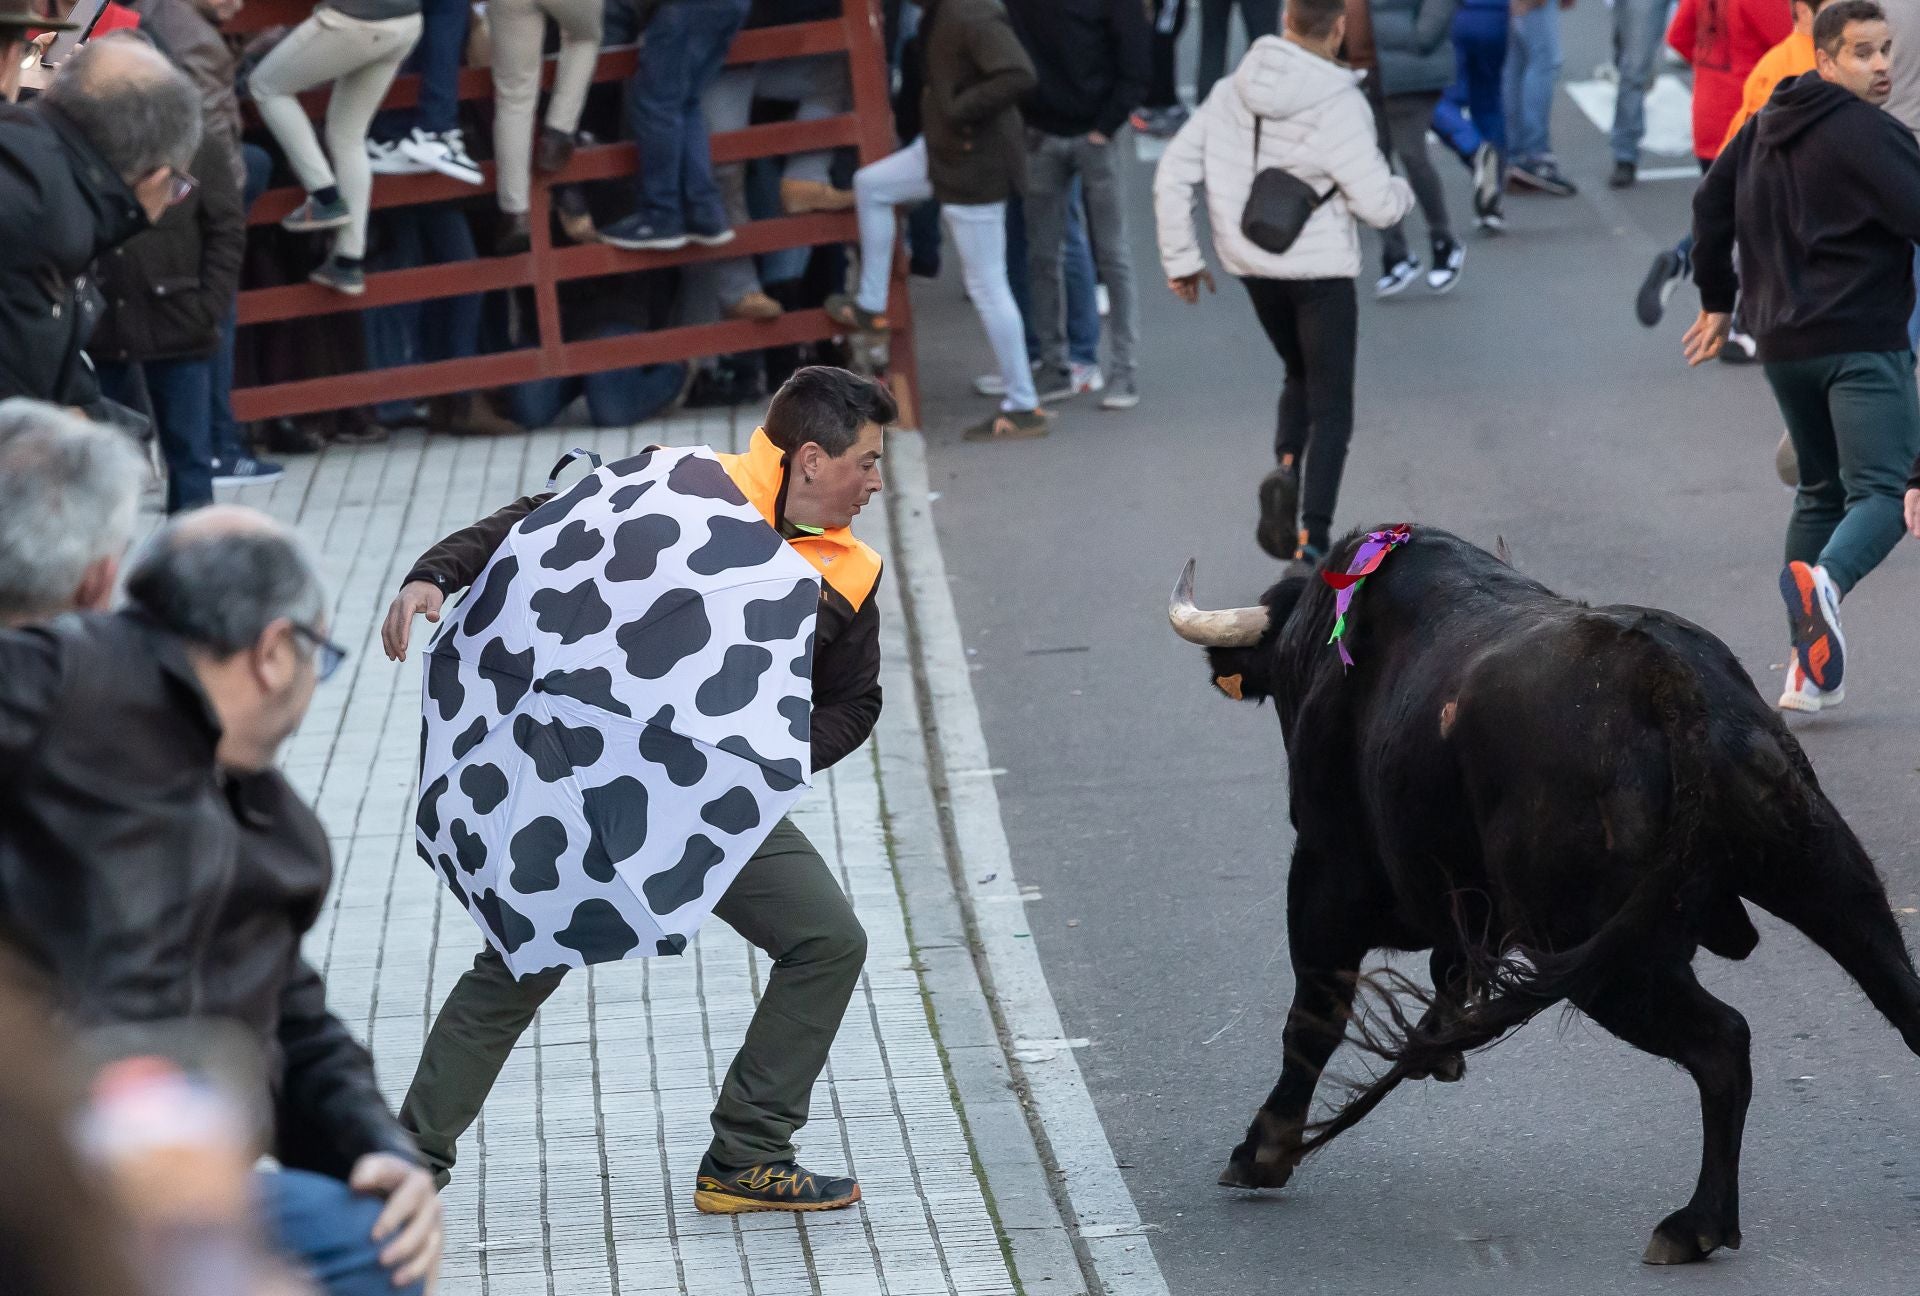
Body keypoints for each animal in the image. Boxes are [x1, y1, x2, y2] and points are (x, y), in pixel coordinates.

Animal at [1159, 526, 1920, 1267]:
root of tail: (1670, 685)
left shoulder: (1324, 877)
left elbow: (1312, 1017)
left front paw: (1264, 1149)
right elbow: (1449, 970)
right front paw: (1436, 1048)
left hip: (1604, 953)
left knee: (1723, 1043)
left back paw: (1694, 1225)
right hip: (1820, 869)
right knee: (1898, 994)